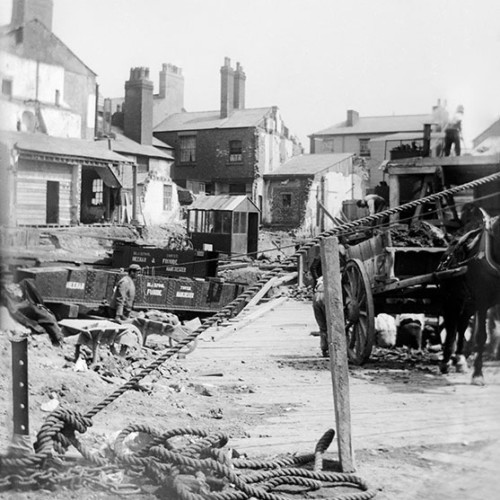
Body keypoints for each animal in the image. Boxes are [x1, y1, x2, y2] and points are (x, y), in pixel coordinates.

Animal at [438, 207, 500, 386]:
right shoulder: (482, 300)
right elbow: (480, 336)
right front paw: (478, 374)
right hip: (451, 300)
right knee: (451, 326)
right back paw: (446, 361)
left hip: (468, 303)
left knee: (461, 325)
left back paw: (459, 359)